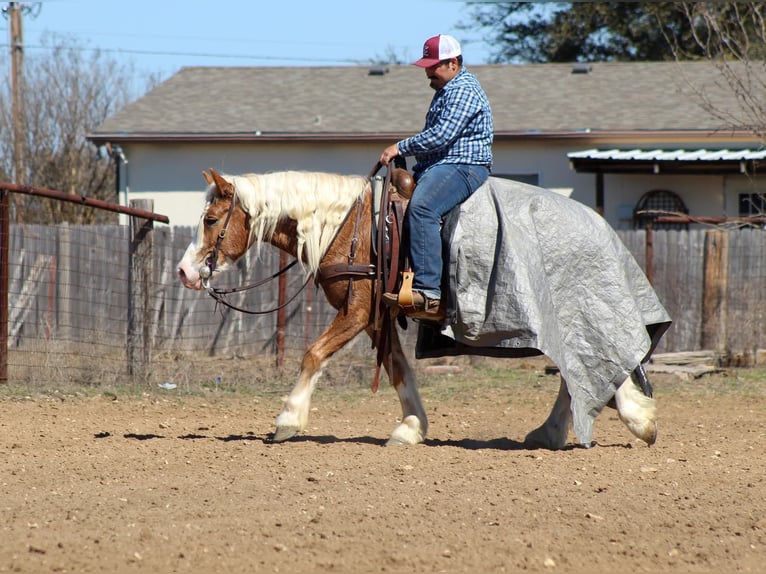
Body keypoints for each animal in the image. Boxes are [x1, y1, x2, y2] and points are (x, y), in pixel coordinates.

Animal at [178, 168, 664, 450]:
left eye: (210, 220)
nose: (184, 272)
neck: (350, 225)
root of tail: (601, 226)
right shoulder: (376, 317)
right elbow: (397, 368)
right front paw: (411, 426)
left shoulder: (356, 311)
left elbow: (313, 354)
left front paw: (287, 420)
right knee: (574, 373)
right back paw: (554, 431)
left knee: (594, 364)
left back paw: (638, 420)